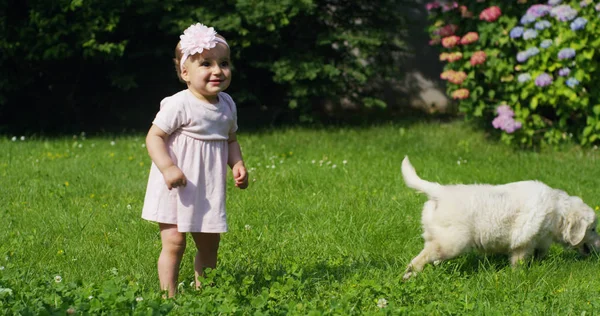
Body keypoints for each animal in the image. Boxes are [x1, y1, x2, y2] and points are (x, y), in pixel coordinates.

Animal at [400, 156, 600, 278]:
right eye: (593, 229)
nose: (599, 244)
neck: (558, 210)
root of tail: (439, 191)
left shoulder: (542, 238)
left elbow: (540, 252)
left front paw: (539, 264)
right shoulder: (524, 240)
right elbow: (520, 259)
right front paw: (518, 274)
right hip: (452, 242)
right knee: (422, 257)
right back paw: (409, 275)